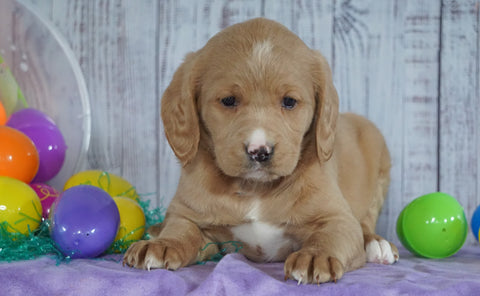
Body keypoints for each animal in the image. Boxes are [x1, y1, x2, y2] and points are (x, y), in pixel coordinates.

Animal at [124, 17, 398, 284]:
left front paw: (315, 256)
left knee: (365, 222)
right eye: (228, 101)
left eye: (289, 102)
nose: (259, 151)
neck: (255, 189)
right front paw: (162, 244)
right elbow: (181, 230)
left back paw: (377, 243)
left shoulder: (337, 218)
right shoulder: (190, 215)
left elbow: (331, 236)